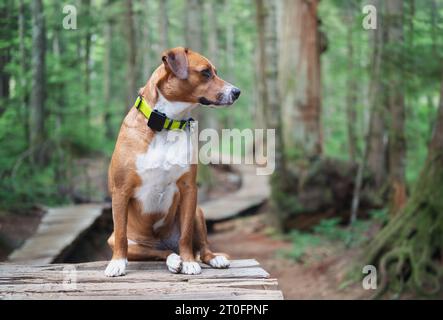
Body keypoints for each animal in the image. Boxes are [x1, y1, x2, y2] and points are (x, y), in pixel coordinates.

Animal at [104, 46, 241, 276]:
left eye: (215, 72)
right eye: (205, 72)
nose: (237, 92)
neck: (166, 124)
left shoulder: (188, 189)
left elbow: (185, 235)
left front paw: (189, 261)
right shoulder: (120, 191)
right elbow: (121, 233)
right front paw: (117, 263)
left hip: (197, 212)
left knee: (201, 248)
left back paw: (210, 258)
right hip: (125, 242)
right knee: (158, 252)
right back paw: (173, 259)